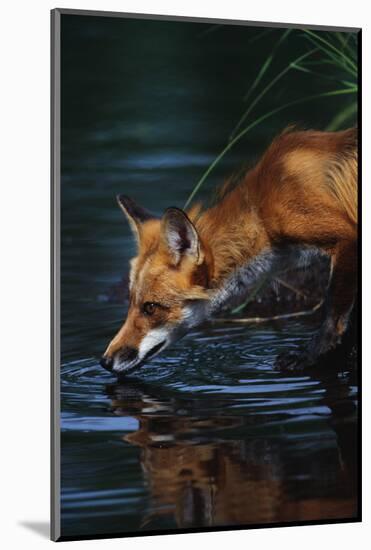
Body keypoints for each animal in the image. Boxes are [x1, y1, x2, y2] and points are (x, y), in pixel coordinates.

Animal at [100, 129, 358, 378]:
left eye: (151, 307)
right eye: (131, 302)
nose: (104, 361)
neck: (262, 211)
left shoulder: (346, 236)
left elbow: (333, 314)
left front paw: (309, 356)